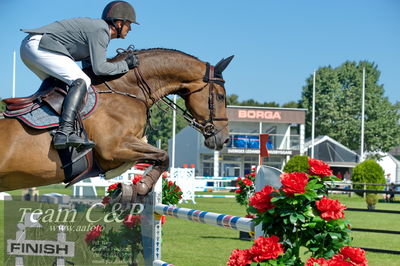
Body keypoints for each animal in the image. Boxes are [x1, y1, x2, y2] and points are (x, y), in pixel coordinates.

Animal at [0, 47, 233, 194]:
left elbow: (156, 157)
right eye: (221, 96)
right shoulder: (113, 148)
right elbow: (163, 156)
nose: (224, 139)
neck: (125, 90)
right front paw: (141, 187)